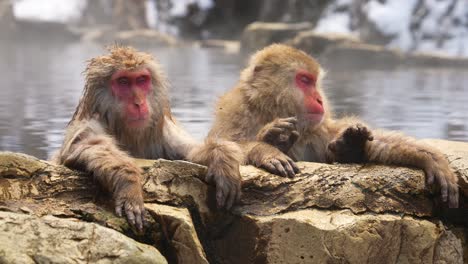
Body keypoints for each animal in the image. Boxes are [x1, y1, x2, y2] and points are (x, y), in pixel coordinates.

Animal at [208, 43, 458, 208]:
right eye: (304, 80)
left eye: (315, 82)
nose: (320, 99)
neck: (270, 109)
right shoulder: (235, 114)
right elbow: (219, 144)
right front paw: (266, 147)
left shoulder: (318, 129)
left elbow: (377, 142)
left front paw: (431, 158)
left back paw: (350, 146)